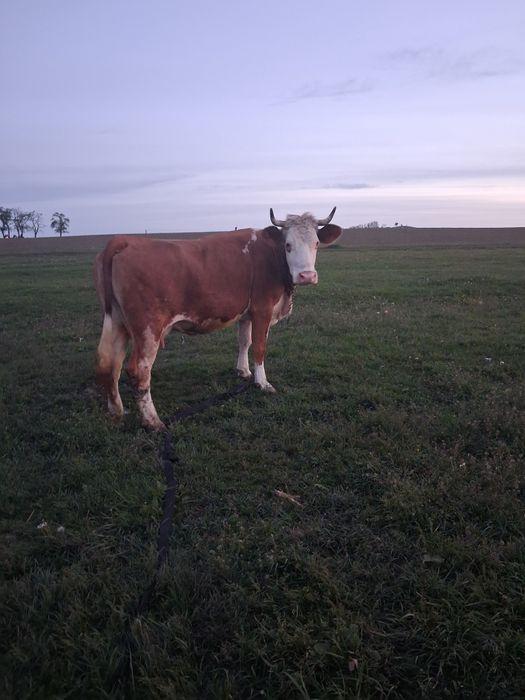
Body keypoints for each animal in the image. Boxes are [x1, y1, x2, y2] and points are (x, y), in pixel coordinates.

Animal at [94, 208, 342, 429]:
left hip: (116, 320)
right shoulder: (263, 310)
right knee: (139, 370)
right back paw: (153, 421)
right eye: (288, 245)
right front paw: (262, 382)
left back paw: (117, 411)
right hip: (148, 328)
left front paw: (243, 372)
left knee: (109, 362)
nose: (307, 276)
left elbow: (245, 342)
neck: (271, 256)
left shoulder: (247, 314)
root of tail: (124, 240)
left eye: (316, 243)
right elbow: (259, 346)